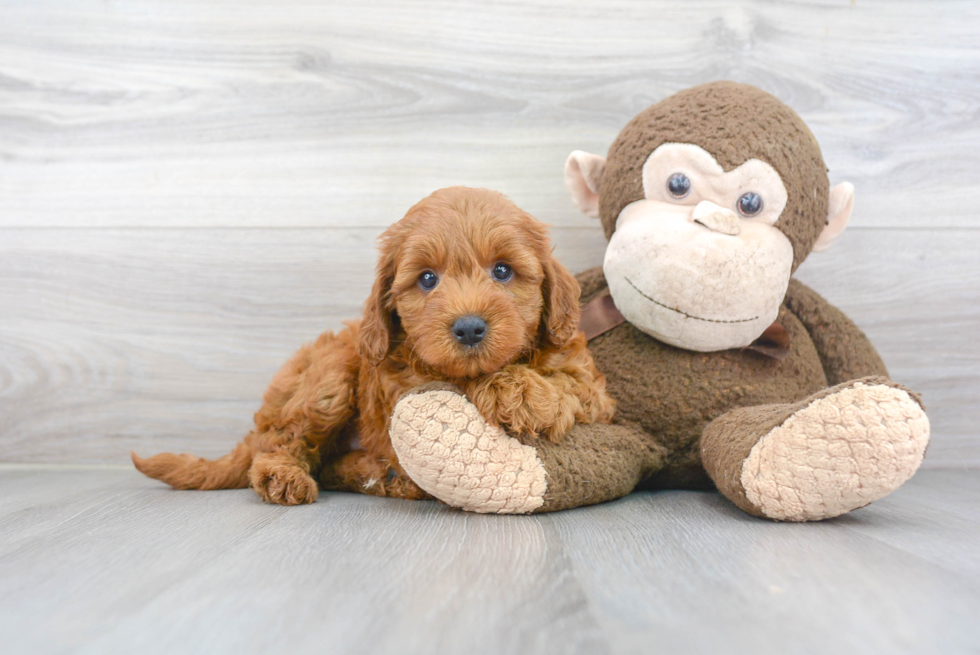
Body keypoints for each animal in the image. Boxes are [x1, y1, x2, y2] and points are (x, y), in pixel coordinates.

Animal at [135, 187, 616, 504]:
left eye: (502, 270)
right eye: (427, 279)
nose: (469, 329)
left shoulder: (593, 390)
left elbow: (570, 384)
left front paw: (523, 390)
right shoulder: (399, 383)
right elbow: (444, 388)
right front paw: (509, 388)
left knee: (328, 464)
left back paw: (381, 476)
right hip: (329, 379)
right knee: (285, 444)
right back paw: (287, 477)